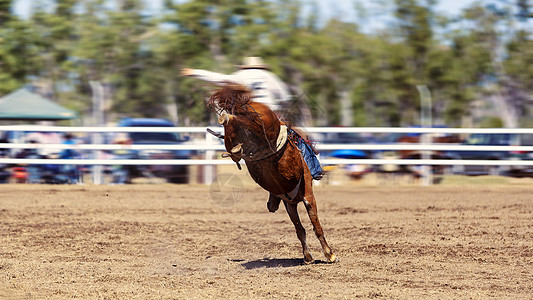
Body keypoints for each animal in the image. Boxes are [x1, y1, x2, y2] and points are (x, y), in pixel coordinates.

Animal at [208, 83, 336, 264]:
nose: (271, 204)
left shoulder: (290, 204)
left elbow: (301, 230)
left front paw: (308, 256)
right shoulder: (307, 196)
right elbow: (314, 225)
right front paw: (329, 254)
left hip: (238, 135)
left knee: (235, 128)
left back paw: (234, 141)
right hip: (265, 125)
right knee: (244, 122)